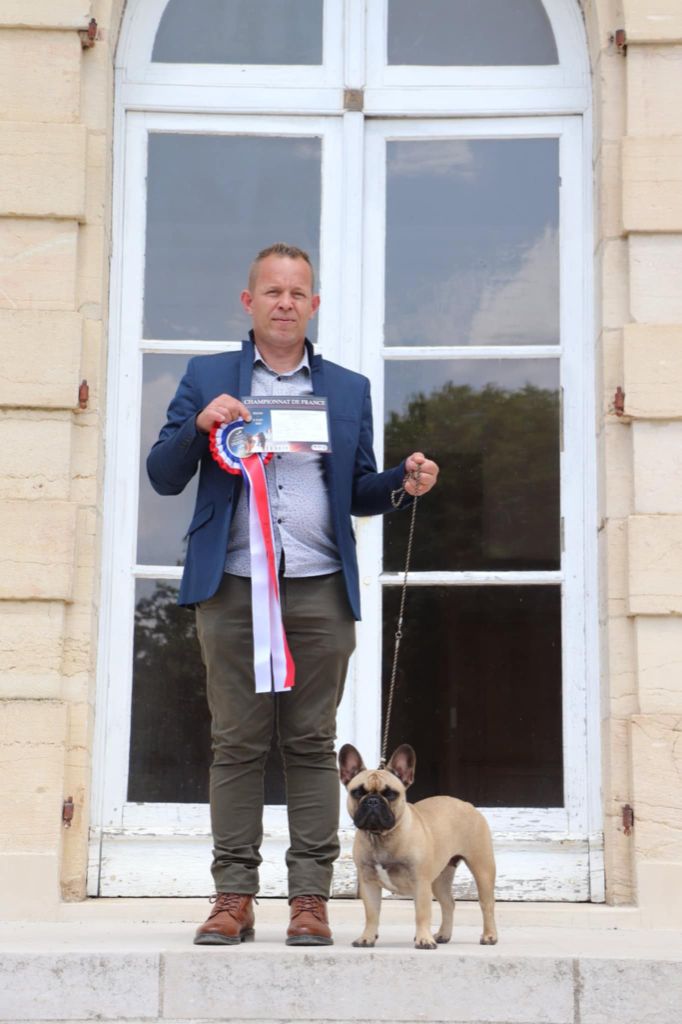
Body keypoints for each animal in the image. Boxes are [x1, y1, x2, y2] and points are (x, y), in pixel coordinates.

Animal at [338, 742, 498, 950]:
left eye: (391, 794)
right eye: (357, 792)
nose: (373, 801)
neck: (382, 837)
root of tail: (466, 804)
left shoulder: (420, 882)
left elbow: (422, 913)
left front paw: (424, 939)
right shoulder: (369, 883)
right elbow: (371, 914)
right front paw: (367, 937)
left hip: (482, 868)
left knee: (487, 904)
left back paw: (489, 936)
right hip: (439, 878)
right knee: (448, 903)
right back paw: (443, 934)